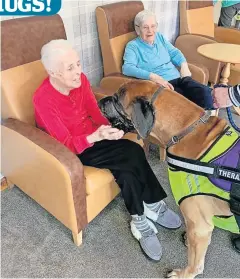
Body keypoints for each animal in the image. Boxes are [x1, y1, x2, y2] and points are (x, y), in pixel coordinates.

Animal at [99, 80, 240, 278]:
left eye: (117, 100)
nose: (100, 101)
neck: (186, 132)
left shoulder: (199, 226)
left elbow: (195, 265)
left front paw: (182, 274)